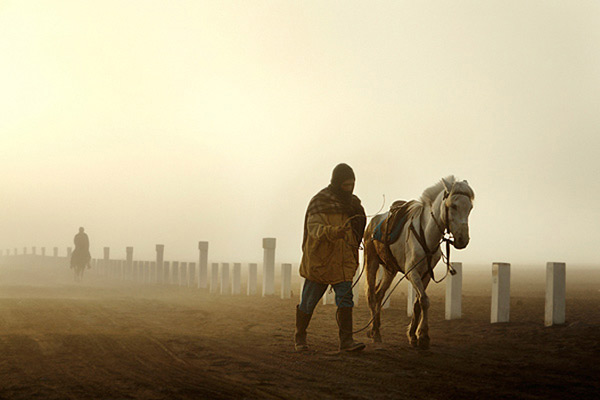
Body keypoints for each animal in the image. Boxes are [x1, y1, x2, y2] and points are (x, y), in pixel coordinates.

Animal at [364, 177, 476, 348]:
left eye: (470, 207)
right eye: (453, 205)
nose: (463, 239)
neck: (427, 234)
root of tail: (372, 224)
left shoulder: (426, 274)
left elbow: (417, 303)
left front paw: (413, 335)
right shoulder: (412, 272)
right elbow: (424, 300)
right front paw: (423, 336)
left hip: (390, 269)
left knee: (378, 294)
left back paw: (375, 329)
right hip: (371, 262)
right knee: (371, 295)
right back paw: (375, 332)